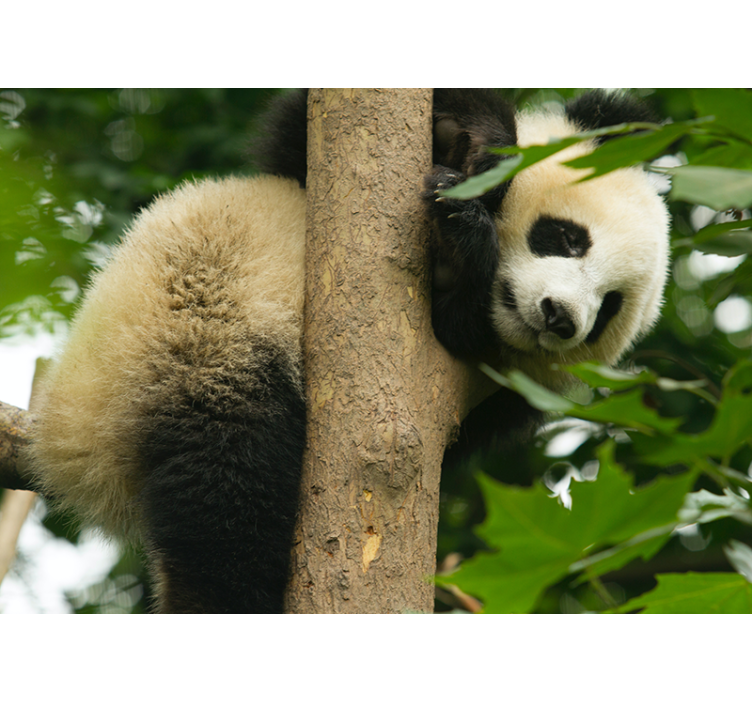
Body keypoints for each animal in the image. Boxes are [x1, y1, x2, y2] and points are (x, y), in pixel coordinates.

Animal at [23, 89, 670, 613]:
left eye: (608, 308)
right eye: (565, 236)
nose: (562, 318)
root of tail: (75, 456)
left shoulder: (501, 396)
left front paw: (464, 246)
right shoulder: (304, 179)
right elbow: (295, 140)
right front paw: (478, 148)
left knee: (229, 494)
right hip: (185, 332)